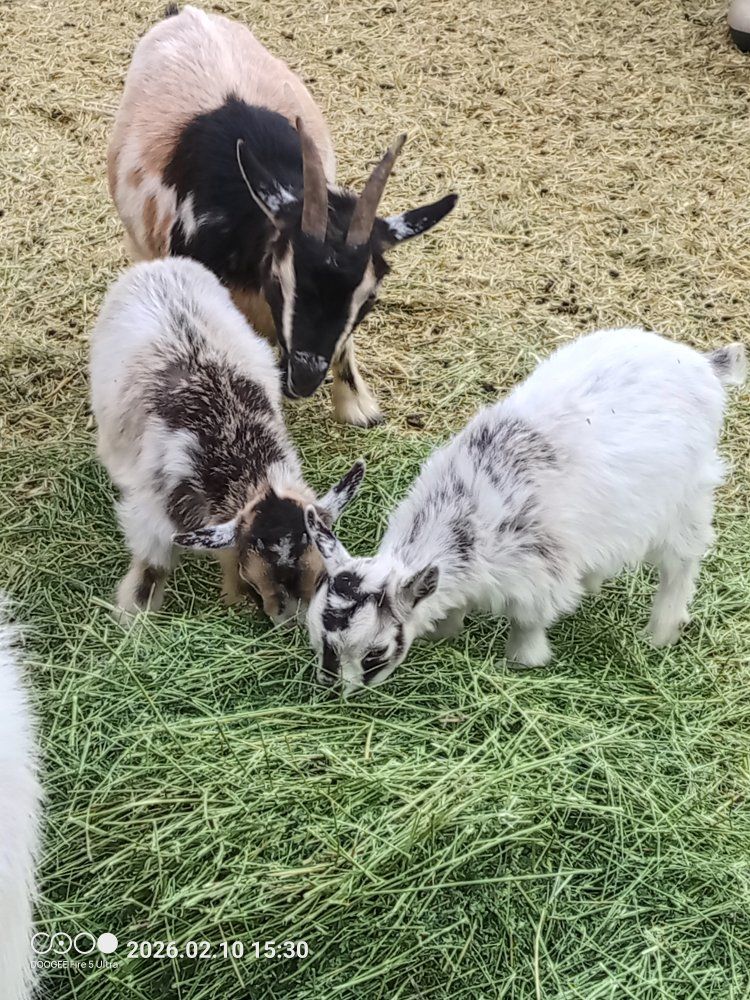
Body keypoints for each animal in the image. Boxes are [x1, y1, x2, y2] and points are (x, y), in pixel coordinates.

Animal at [90, 258, 364, 623]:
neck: (236, 446)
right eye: (251, 574)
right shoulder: (151, 514)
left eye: (321, 575)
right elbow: (151, 568)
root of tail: (158, 265)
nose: (288, 620)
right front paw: (132, 617)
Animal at [305, 328, 747, 694]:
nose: (336, 690)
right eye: (319, 637)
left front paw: (523, 661)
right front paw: (445, 634)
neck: (466, 523)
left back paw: (660, 632)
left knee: (682, 564)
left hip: (687, 501)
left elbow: (527, 623)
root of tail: (702, 364)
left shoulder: (537, 577)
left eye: (375, 652)